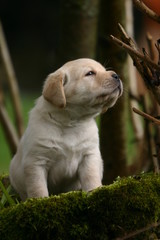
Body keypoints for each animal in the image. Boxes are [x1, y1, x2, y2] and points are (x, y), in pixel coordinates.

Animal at [9, 58, 122, 201]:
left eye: (104, 70)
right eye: (90, 73)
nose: (116, 75)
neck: (71, 122)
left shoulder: (89, 155)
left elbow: (91, 177)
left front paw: (95, 192)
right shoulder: (36, 162)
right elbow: (38, 188)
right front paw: (41, 201)